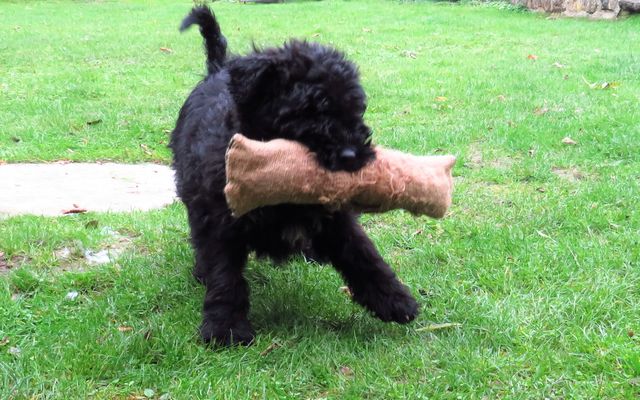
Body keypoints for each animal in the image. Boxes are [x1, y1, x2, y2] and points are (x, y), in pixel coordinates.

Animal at [171, 6, 420, 346]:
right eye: (306, 111)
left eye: (355, 108)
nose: (351, 154)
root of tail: (217, 70)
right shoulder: (221, 220)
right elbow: (225, 275)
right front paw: (226, 328)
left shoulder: (335, 216)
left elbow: (363, 254)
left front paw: (395, 300)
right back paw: (202, 272)